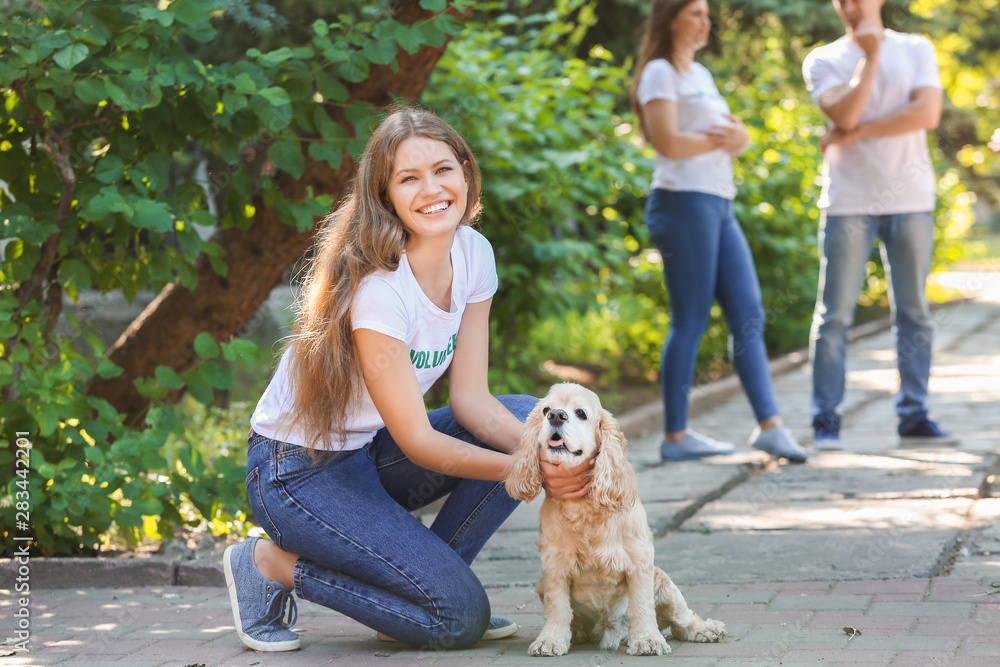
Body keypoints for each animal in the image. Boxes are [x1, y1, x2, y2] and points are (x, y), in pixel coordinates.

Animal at [508, 384, 728, 656]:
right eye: (545, 410)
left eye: (581, 413)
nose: (556, 416)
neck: (584, 507)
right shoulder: (554, 565)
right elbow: (557, 606)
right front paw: (550, 640)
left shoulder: (639, 560)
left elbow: (641, 605)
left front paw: (647, 640)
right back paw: (577, 632)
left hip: (663, 582)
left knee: (682, 621)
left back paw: (706, 629)